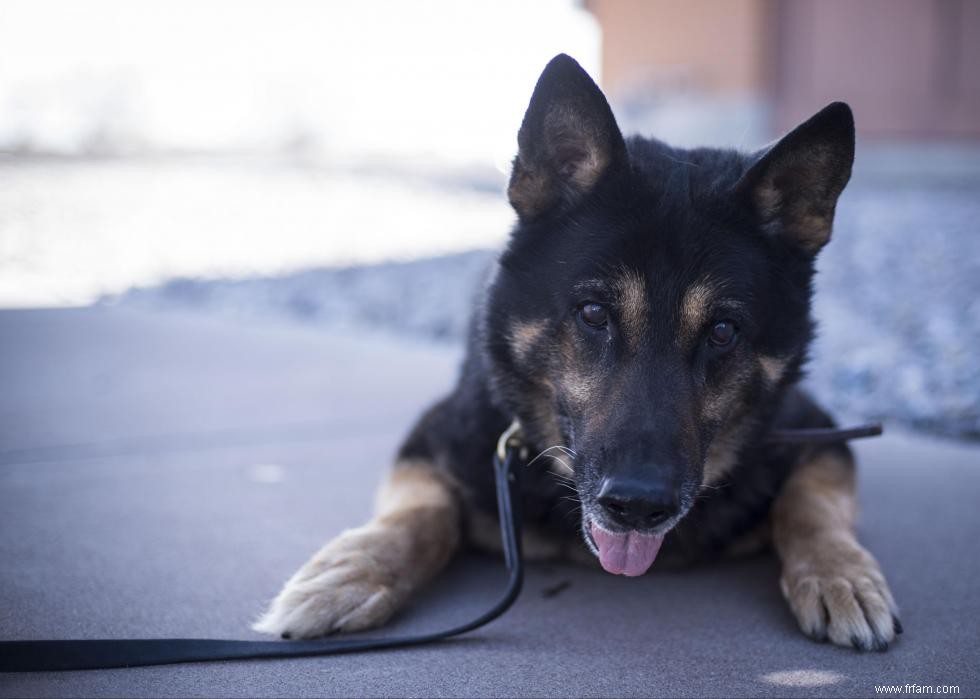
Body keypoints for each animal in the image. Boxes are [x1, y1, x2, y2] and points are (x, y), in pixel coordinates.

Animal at [256, 54, 900, 652]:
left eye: (722, 331)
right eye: (593, 314)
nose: (638, 507)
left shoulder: (821, 433)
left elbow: (810, 503)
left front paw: (841, 575)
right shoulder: (433, 440)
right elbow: (420, 512)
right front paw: (351, 574)